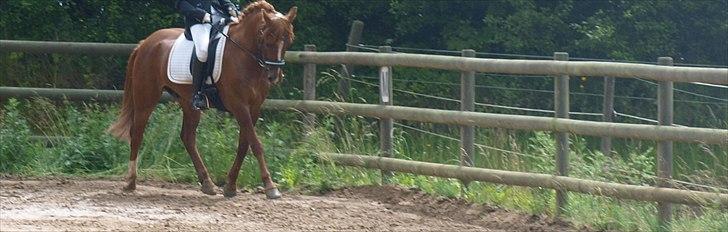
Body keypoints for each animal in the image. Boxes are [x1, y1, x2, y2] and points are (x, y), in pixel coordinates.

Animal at [104, 0, 296, 198]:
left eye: (289, 39)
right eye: (267, 37)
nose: (274, 76)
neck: (244, 55)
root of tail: (145, 43)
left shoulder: (255, 108)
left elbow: (244, 144)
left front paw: (230, 186)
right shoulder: (239, 105)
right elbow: (255, 144)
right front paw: (270, 186)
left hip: (188, 103)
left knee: (188, 137)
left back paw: (207, 183)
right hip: (146, 98)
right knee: (137, 134)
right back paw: (130, 181)